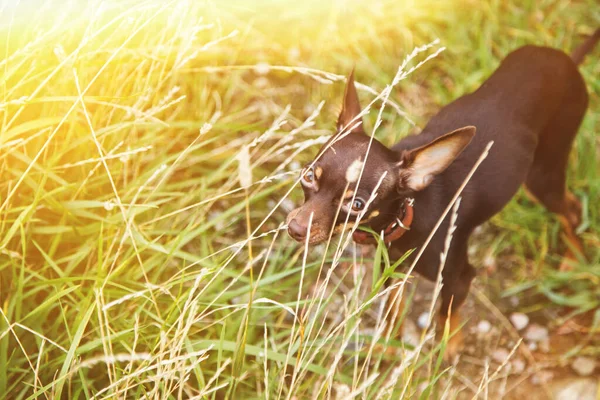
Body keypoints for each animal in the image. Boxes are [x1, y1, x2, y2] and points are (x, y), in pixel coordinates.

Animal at [286, 31, 600, 356]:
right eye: (308, 176)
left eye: (358, 204)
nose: (295, 228)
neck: (406, 217)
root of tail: (568, 61)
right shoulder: (390, 270)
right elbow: (393, 310)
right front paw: (387, 347)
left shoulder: (458, 278)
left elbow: (446, 314)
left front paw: (447, 349)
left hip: (541, 175)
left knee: (571, 210)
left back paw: (574, 259)